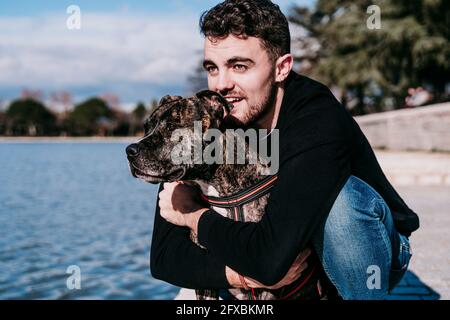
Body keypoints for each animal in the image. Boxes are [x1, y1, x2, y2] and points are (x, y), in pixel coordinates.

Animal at [125, 90, 336, 300]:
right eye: (146, 127)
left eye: (171, 127)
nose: (129, 150)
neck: (218, 188)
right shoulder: (204, 284)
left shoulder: (268, 288)